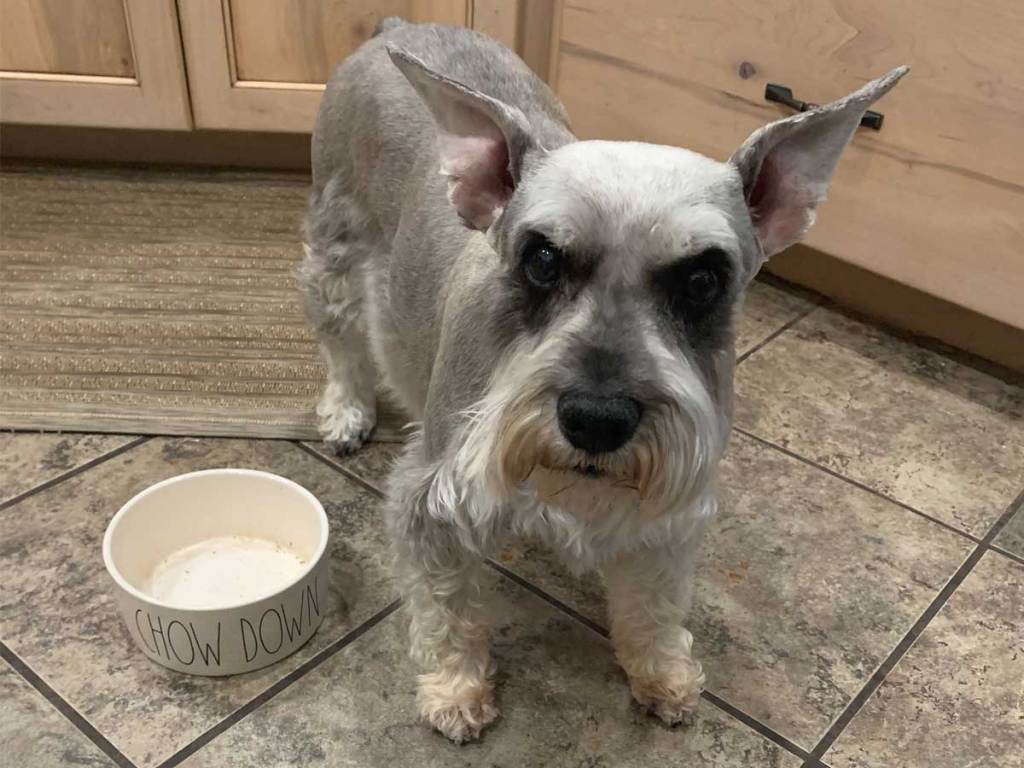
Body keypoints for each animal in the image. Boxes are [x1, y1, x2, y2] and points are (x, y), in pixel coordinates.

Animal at [301, 16, 905, 745]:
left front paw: (662, 673)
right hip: (333, 246)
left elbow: (653, 602)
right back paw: (346, 411)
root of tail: (399, 25)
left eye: (702, 280)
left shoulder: (669, 512)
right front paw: (456, 691)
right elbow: (446, 609)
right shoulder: (432, 501)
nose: (596, 419)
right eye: (541, 258)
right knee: (342, 338)